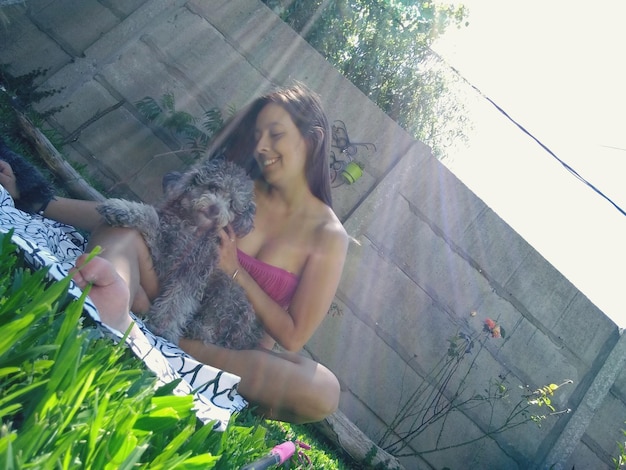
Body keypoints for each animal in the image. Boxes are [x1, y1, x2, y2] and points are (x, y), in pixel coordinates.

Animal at [97, 158, 264, 348]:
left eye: (232, 205)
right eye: (213, 187)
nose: (215, 209)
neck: (192, 227)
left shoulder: (189, 271)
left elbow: (178, 300)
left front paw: (164, 328)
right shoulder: (167, 256)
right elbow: (152, 217)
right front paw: (120, 209)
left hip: (225, 294)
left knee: (210, 331)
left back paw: (198, 328)